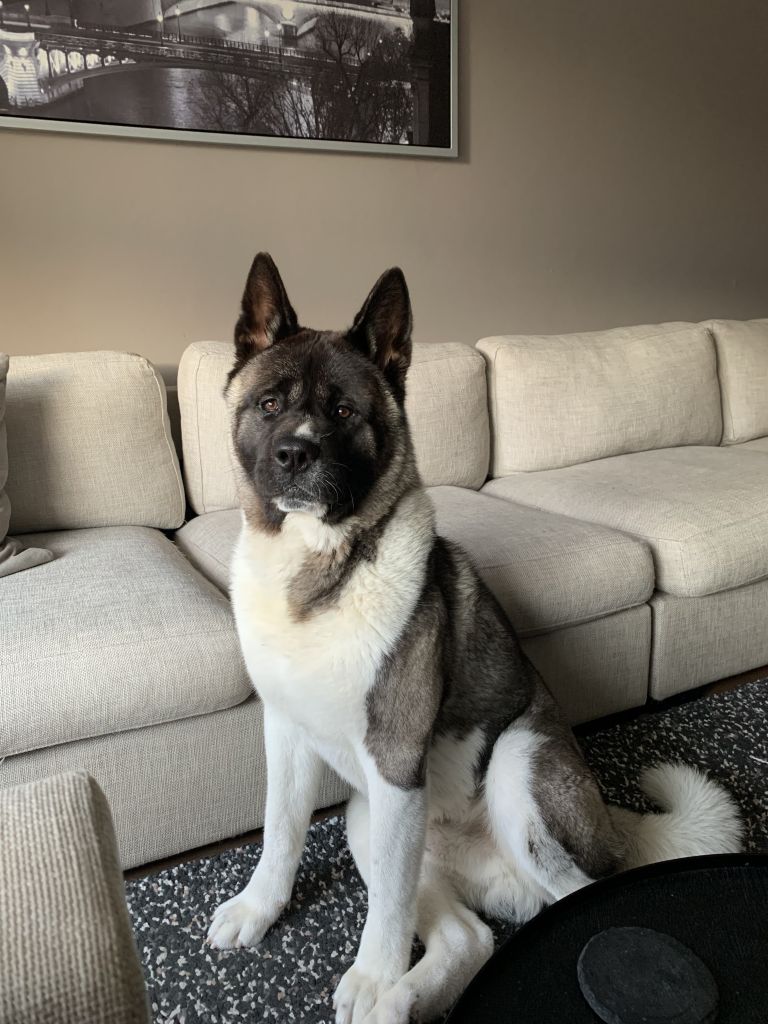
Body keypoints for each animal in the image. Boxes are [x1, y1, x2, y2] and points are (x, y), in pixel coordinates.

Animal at [207, 253, 743, 1024]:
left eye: (342, 411)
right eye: (271, 404)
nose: (293, 455)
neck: (322, 569)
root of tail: (613, 825)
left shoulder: (396, 762)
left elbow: (386, 911)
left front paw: (372, 973)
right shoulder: (289, 738)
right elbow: (281, 832)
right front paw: (259, 909)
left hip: (516, 767)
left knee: (570, 896)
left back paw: (395, 990)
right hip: (373, 819)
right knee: (469, 937)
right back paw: (400, 1005)